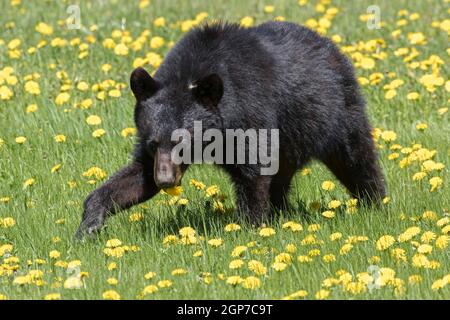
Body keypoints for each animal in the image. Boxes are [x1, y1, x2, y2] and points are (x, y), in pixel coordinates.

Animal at [75, 21, 384, 239]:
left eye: (183, 143)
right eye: (154, 143)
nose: (165, 180)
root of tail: (330, 45)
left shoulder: (251, 113)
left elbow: (252, 172)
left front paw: (249, 228)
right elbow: (136, 177)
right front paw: (89, 225)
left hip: (337, 110)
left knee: (356, 157)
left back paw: (375, 201)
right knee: (282, 178)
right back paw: (282, 212)